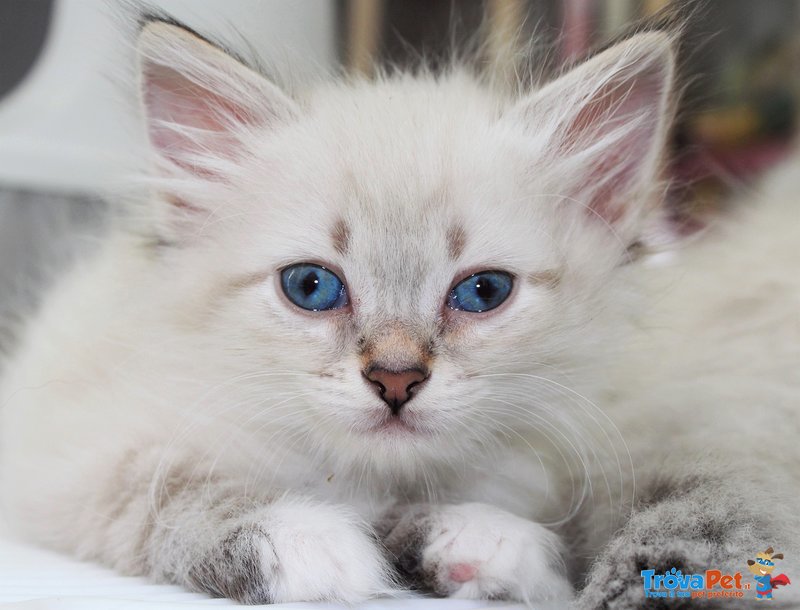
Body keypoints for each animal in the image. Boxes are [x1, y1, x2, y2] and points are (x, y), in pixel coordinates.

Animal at [1, 20, 800, 608]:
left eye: (483, 292)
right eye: (311, 287)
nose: (394, 379)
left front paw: (483, 544)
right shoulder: (83, 463)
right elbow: (186, 500)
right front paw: (316, 546)